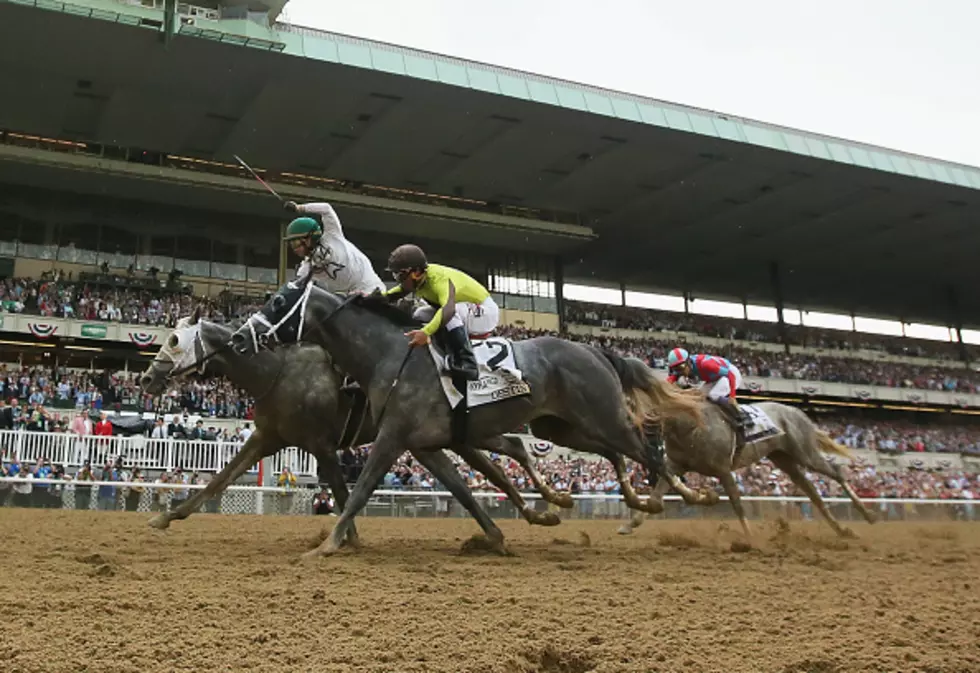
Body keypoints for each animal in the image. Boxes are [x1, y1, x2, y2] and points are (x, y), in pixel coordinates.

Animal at [140, 310, 568, 544]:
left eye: (175, 340)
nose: (147, 378)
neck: (276, 370)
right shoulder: (266, 437)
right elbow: (219, 480)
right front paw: (167, 516)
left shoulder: (321, 444)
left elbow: (344, 494)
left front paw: (349, 540)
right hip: (440, 437)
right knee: (488, 467)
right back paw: (530, 516)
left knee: (495, 463)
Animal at [230, 280, 704, 556]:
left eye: (278, 300)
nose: (236, 338)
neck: (389, 354)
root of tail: (595, 349)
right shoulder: (424, 444)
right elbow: (461, 487)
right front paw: (499, 535)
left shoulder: (392, 437)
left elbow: (360, 489)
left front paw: (326, 545)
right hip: (561, 426)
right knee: (616, 453)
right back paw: (618, 500)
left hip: (603, 416)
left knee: (647, 450)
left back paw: (685, 494)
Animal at [616, 400, 876, 536]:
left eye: (644, 425)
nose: (646, 464)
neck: (690, 427)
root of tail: (798, 412)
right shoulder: (676, 464)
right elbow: (654, 498)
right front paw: (629, 525)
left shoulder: (722, 469)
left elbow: (736, 502)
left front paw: (750, 537)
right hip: (784, 459)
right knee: (813, 493)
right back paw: (841, 529)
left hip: (805, 452)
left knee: (836, 473)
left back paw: (866, 514)